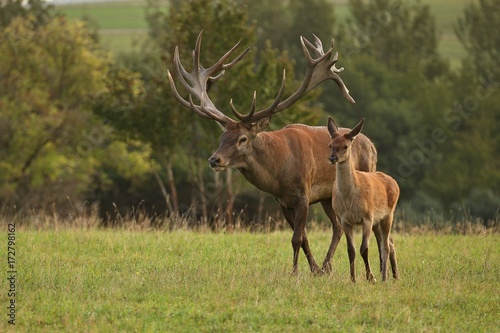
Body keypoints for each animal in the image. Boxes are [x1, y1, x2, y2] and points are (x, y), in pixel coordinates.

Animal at [328, 116, 398, 280]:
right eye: (330, 145)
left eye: (345, 146)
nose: (332, 158)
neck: (349, 199)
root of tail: (394, 182)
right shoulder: (345, 220)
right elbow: (351, 250)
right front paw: (353, 279)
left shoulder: (367, 217)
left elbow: (364, 249)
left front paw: (370, 277)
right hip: (378, 220)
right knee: (389, 243)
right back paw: (392, 276)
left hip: (388, 214)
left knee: (385, 245)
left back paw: (385, 278)